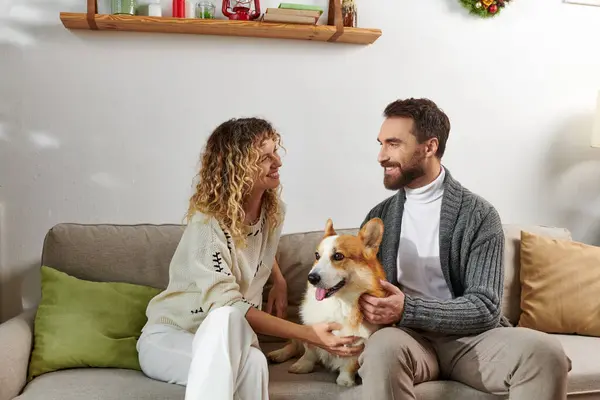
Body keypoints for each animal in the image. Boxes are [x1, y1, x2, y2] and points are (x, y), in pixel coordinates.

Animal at [264, 217, 386, 386]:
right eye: (317, 255)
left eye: (338, 256)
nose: (311, 278)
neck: (338, 302)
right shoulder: (311, 330)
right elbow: (309, 350)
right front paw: (302, 365)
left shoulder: (358, 344)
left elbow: (350, 364)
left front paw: (345, 380)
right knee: (294, 344)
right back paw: (278, 354)